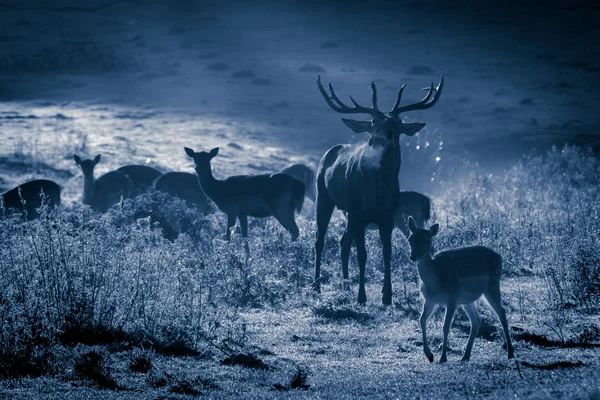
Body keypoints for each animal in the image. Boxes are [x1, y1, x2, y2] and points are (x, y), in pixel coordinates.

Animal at [314, 74, 440, 304]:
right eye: (374, 122)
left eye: (399, 123)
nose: (388, 130)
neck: (378, 192)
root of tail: (329, 152)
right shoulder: (358, 213)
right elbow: (363, 255)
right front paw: (362, 296)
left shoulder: (387, 216)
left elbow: (387, 253)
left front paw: (387, 296)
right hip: (324, 197)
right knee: (320, 240)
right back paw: (316, 285)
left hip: (347, 213)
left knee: (343, 243)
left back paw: (346, 286)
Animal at [408, 217, 516, 364]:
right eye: (410, 239)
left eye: (426, 240)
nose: (412, 256)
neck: (435, 281)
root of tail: (499, 256)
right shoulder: (430, 300)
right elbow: (422, 320)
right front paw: (430, 355)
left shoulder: (452, 298)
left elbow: (446, 326)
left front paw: (443, 357)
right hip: (467, 299)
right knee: (476, 320)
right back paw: (465, 356)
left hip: (492, 285)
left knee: (501, 312)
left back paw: (510, 352)